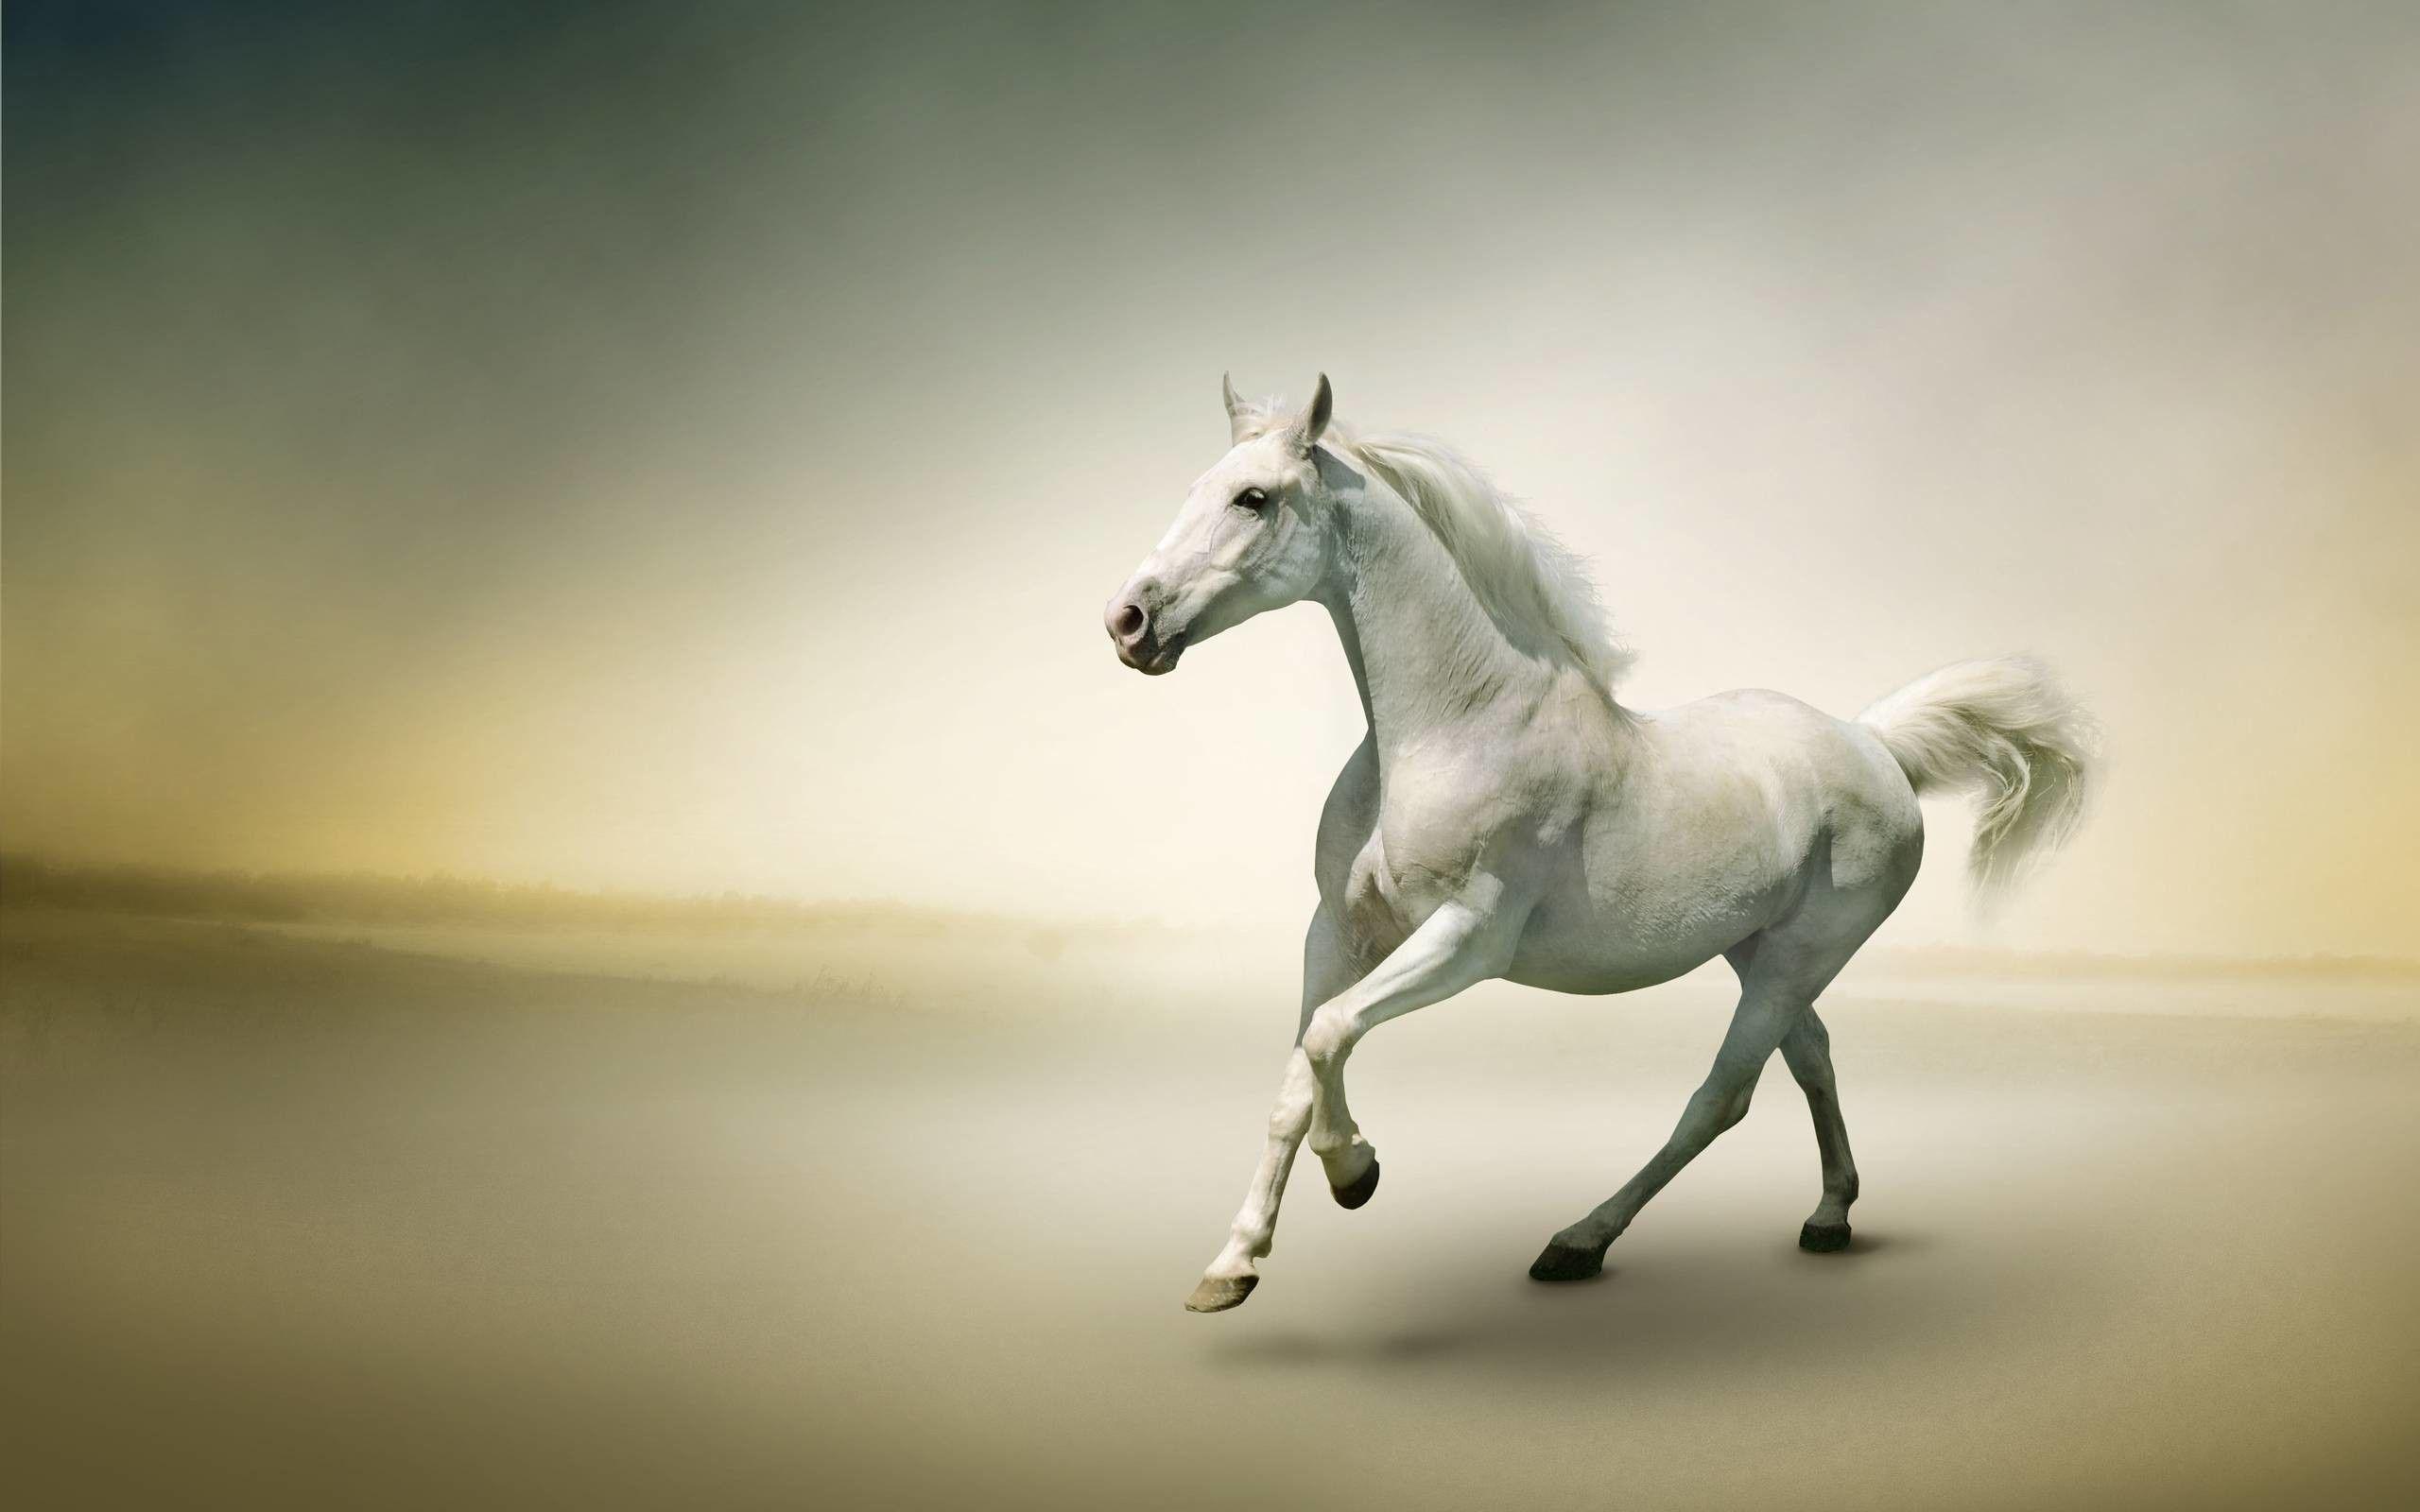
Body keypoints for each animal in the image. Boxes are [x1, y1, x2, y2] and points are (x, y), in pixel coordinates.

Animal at [1104, 374, 2097, 1313]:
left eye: (1254, 498)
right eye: (1199, 487)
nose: (1129, 622)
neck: (1453, 728)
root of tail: (1874, 743)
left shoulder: (1468, 939)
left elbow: (1329, 1036)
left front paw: (1357, 1173)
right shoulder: (1339, 932)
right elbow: (1298, 1072)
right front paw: (1231, 1267)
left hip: (1800, 955)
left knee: (1723, 1096)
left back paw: (1579, 1242)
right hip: (1757, 949)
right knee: (1812, 1055)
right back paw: (1829, 1215)